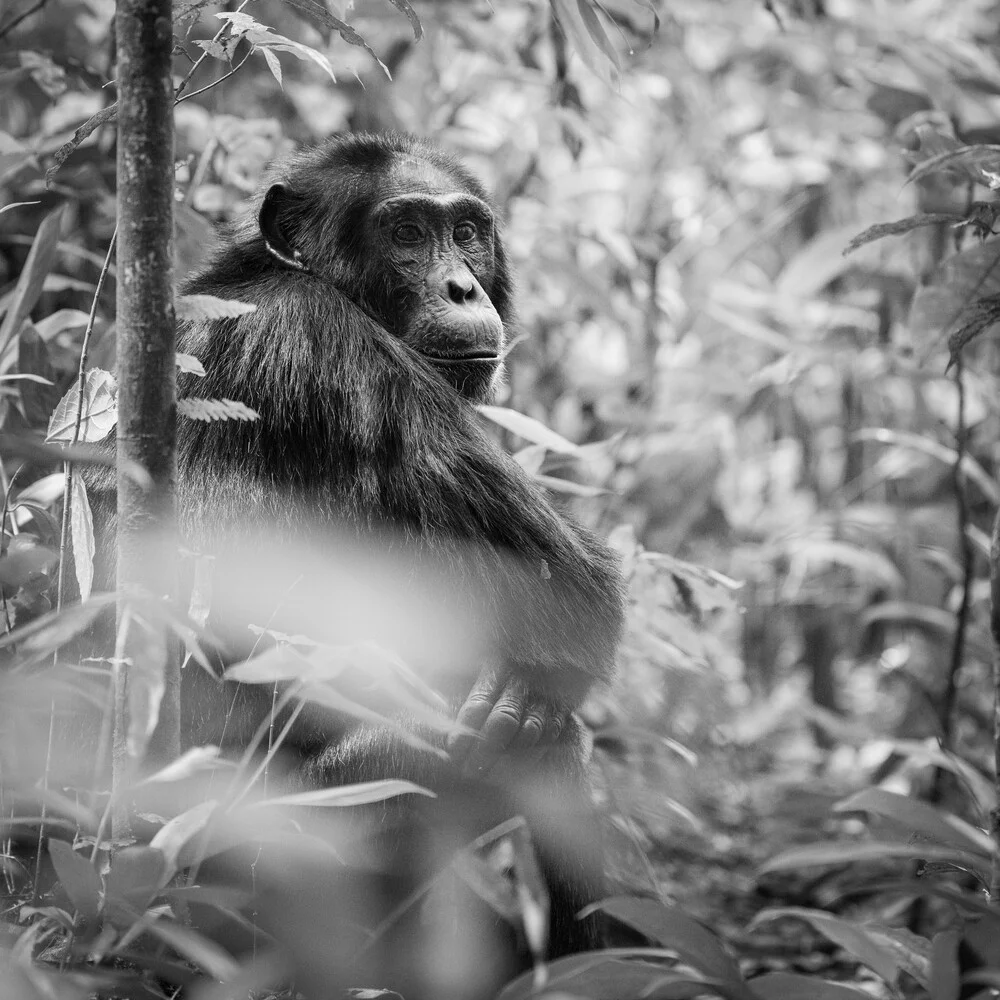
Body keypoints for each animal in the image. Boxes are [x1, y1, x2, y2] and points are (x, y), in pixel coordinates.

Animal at [109, 135, 620, 1000]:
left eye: (466, 232)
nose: (460, 284)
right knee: (533, 749)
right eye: (407, 234)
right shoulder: (334, 346)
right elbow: (569, 594)